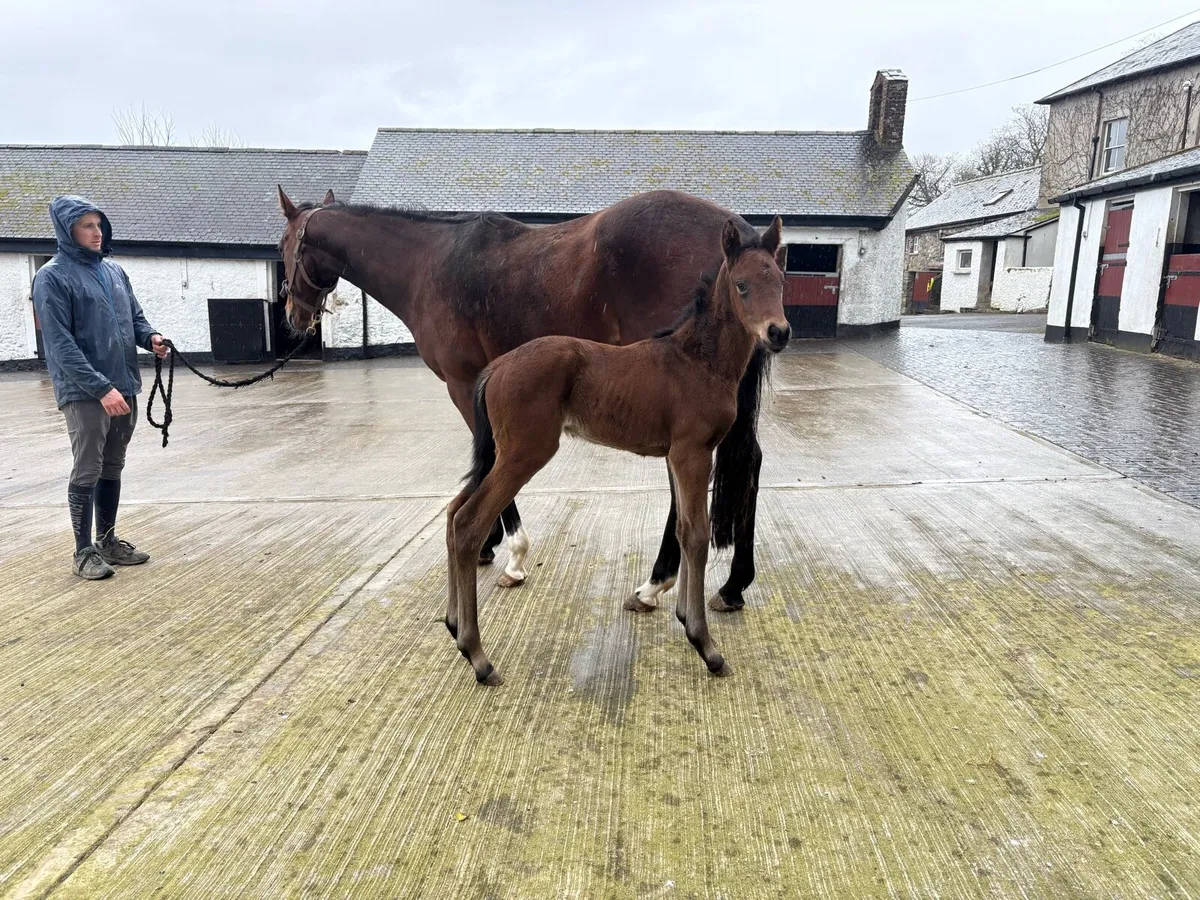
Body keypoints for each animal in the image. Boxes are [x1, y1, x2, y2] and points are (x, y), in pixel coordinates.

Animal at [276, 186, 771, 613]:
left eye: (283, 246)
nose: (294, 318)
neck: (429, 264)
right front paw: (490, 544)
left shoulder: (464, 386)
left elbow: (489, 460)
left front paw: (509, 552)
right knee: (749, 460)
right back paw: (733, 585)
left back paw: (656, 584)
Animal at [445, 217, 789, 685]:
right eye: (743, 285)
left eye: (781, 280)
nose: (779, 333)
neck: (698, 361)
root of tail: (496, 367)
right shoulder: (693, 452)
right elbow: (697, 535)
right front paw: (706, 646)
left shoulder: (677, 455)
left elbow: (684, 529)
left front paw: (679, 615)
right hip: (523, 453)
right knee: (468, 523)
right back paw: (479, 657)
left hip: (500, 453)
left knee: (452, 512)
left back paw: (453, 625)